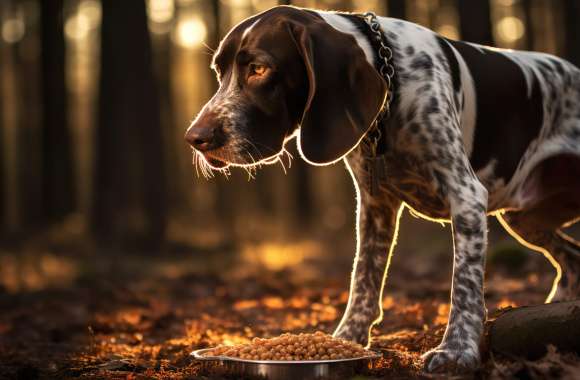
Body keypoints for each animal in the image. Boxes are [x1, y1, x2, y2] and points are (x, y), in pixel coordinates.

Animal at [185, 5, 580, 372]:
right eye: (219, 72)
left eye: (259, 68)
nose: (195, 139)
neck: (392, 87)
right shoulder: (375, 207)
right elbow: (364, 277)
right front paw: (347, 340)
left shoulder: (466, 197)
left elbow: (464, 285)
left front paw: (457, 351)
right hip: (524, 219)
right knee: (571, 257)